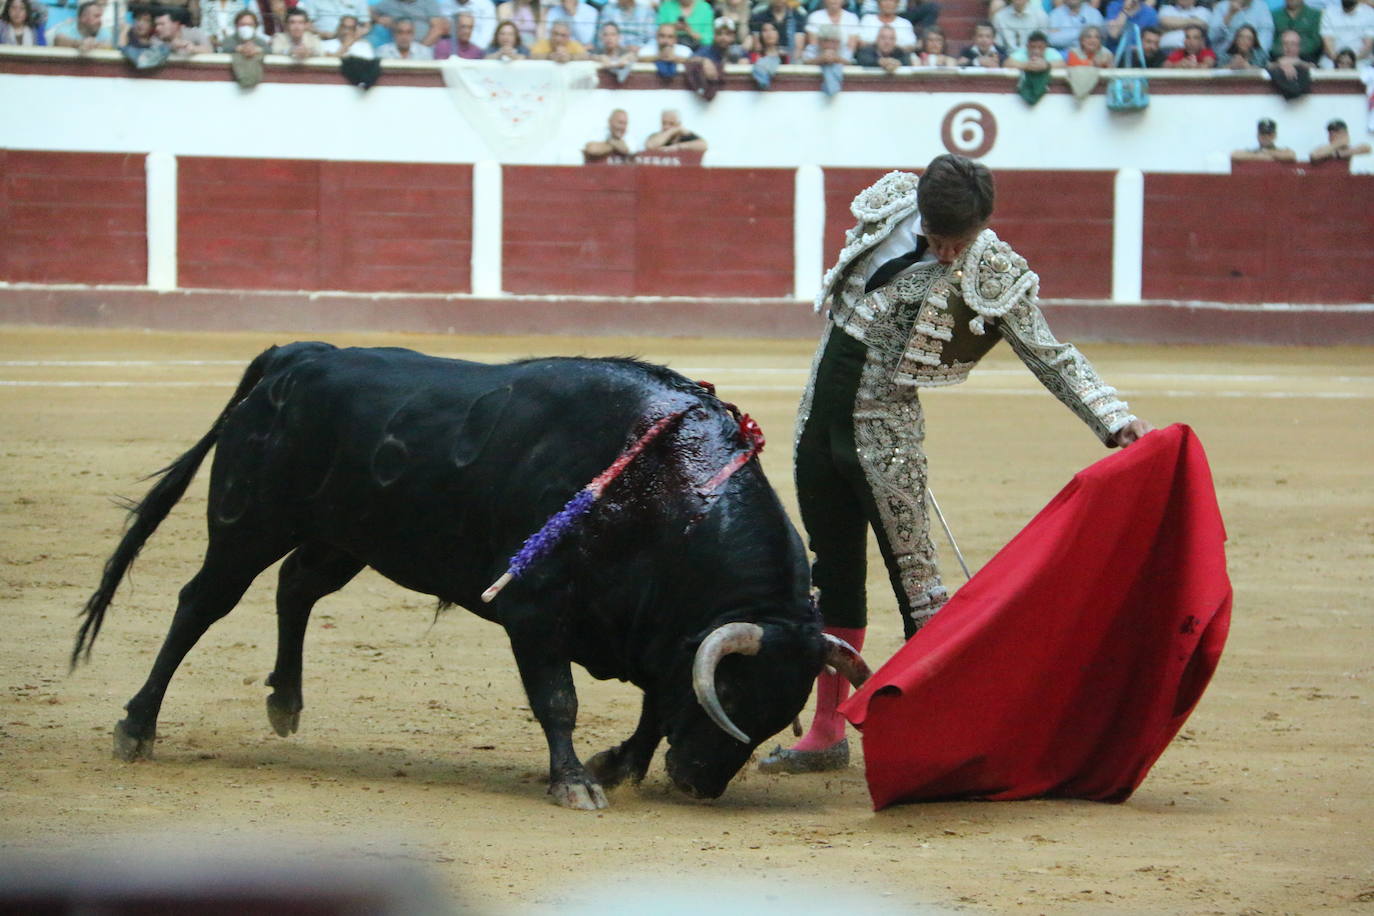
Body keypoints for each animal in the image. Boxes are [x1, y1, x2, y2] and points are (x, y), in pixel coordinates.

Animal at [72, 343, 868, 807]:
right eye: (732, 692)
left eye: (778, 712)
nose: (699, 784)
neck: (666, 489)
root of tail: (298, 353)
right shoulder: (537, 612)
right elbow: (559, 700)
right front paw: (576, 782)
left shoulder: (659, 634)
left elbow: (657, 702)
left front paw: (617, 764)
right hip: (248, 523)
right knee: (200, 604)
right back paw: (136, 728)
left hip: (344, 538)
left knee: (296, 586)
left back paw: (286, 702)